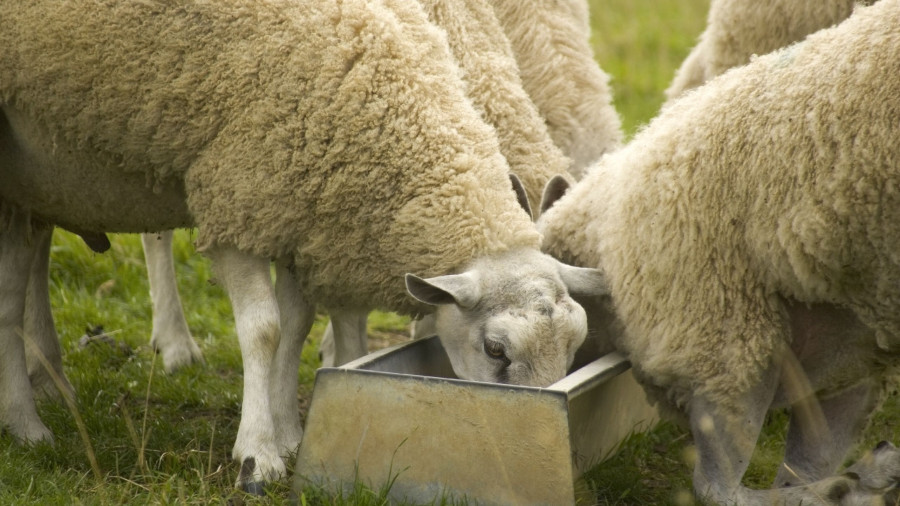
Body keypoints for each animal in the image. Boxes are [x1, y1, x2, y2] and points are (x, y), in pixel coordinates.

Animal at [0, 0, 604, 491]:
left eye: (577, 345)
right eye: (496, 350)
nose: (535, 438)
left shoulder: (305, 215)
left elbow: (295, 323)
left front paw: (291, 430)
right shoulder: (237, 199)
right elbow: (264, 329)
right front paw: (257, 455)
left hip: (49, 182)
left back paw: (47, 380)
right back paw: (35, 421)